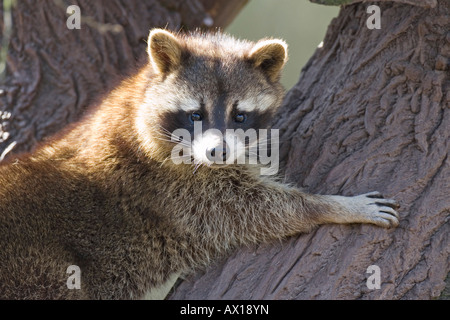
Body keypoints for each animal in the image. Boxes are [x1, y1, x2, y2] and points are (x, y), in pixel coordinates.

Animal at [0, 28, 400, 300]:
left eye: (240, 116)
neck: (136, 102)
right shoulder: (164, 185)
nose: (217, 153)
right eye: (195, 114)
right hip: (38, 271)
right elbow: (252, 210)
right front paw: (332, 206)